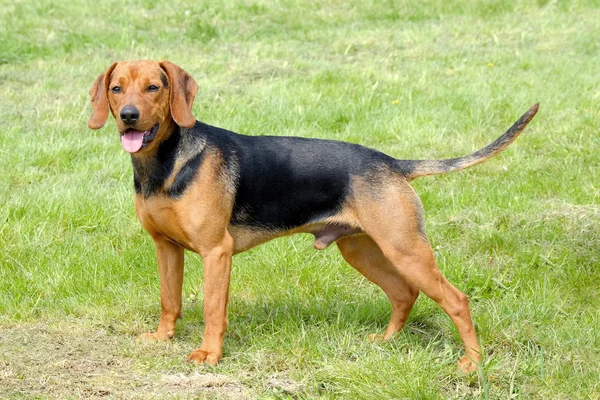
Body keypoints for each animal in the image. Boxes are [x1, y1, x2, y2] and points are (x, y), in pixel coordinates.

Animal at [88, 60, 540, 376]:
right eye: (116, 88)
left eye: (154, 87)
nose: (128, 115)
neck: (164, 165)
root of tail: (393, 164)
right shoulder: (166, 248)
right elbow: (170, 300)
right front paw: (162, 337)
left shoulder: (217, 252)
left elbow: (214, 310)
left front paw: (209, 354)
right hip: (363, 250)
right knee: (403, 294)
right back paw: (386, 342)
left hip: (406, 248)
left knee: (456, 300)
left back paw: (472, 364)